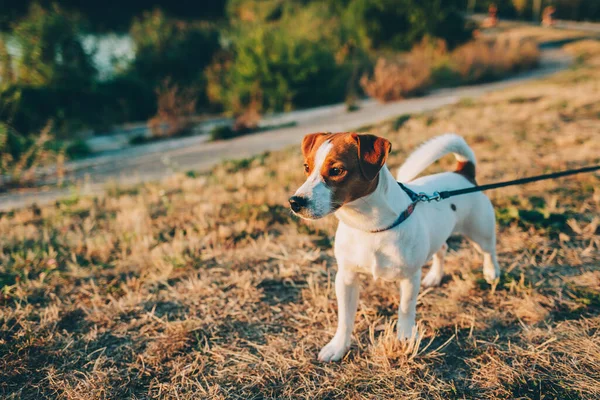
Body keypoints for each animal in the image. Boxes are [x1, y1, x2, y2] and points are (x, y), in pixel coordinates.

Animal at [288, 132, 500, 362]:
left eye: (336, 170)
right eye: (306, 167)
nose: (295, 202)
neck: (367, 226)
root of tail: (462, 173)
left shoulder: (409, 278)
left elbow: (405, 309)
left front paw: (405, 339)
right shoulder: (346, 277)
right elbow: (344, 317)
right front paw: (338, 346)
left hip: (480, 231)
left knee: (489, 251)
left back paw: (491, 273)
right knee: (441, 249)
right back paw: (435, 276)